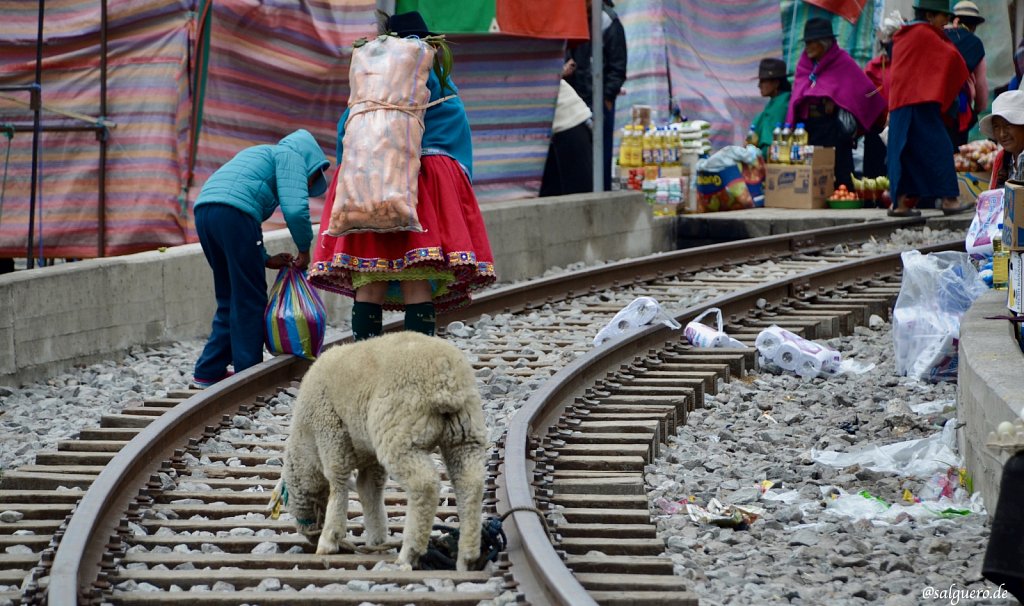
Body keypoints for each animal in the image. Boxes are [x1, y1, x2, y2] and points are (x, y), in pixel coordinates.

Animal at [272, 331, 487, 573]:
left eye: (286, 502)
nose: (309, 537)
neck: (306, 444)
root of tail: (446, 377)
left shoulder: (330, 432)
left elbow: (338, 482)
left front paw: (329, 538)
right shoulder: (369, 457)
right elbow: (369, 491)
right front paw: (376, 539)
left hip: (400, 435)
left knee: (425, 486)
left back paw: (409, 553)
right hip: (466, 433)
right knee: (470, 484)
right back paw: (467, 556)